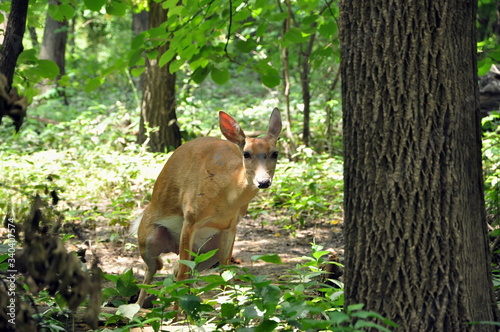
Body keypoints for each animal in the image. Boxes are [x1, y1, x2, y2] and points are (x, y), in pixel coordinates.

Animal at [133, 108, 282, 306]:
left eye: (275, 153)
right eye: (246, 153)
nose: (263, 181)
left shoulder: (231, 226)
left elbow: (226, 274)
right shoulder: (190, 218)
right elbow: (181, 276)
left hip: (209, 251)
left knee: (178, 269)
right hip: (148, 236)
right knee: (156, 267)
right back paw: (138, 308)